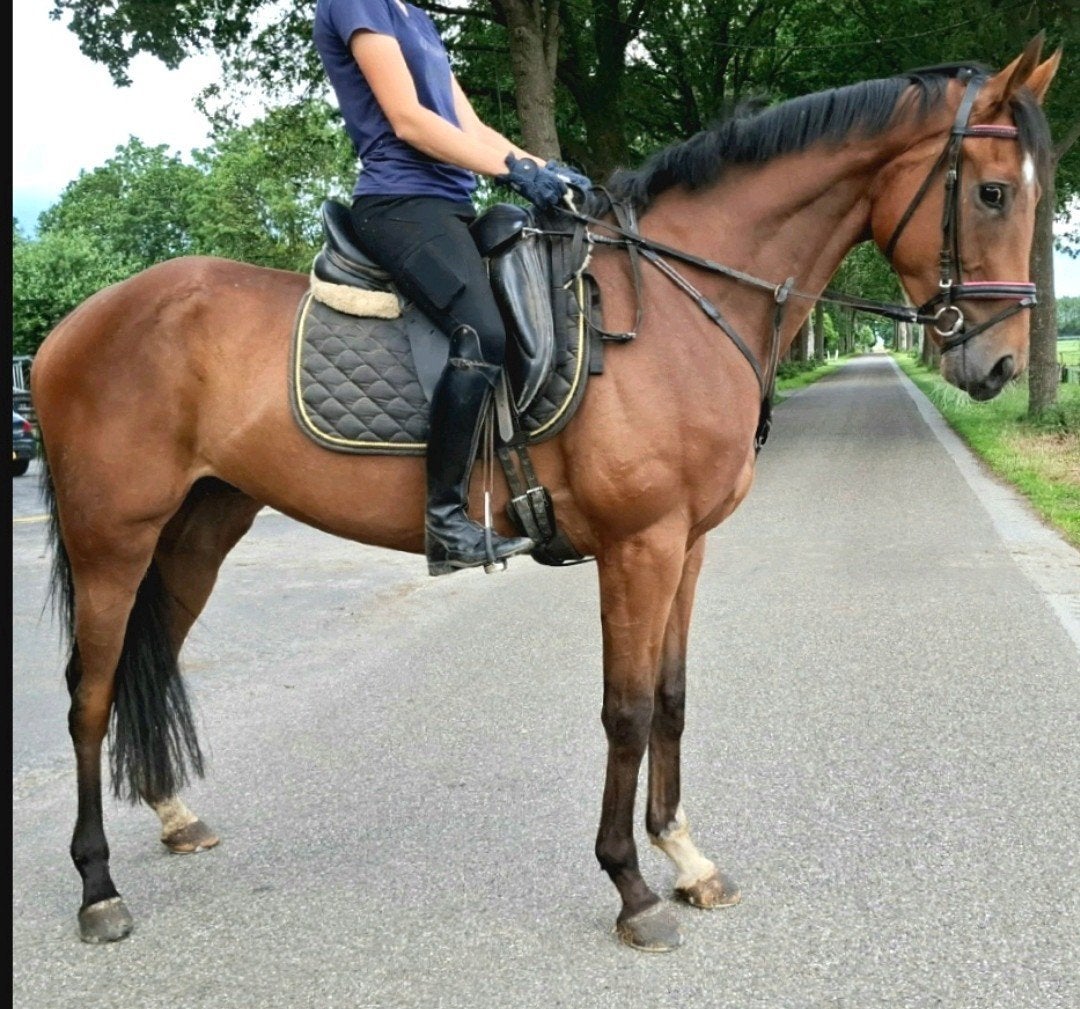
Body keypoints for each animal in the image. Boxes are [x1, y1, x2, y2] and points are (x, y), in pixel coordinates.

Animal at [31, 37, 1059, 951]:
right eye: (993, 191)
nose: (999, 364)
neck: (680, 305)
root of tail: (73, 325)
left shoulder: (687, 544)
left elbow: (672, 696)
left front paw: (686, 858)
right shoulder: (640, 545)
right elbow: (626, 709)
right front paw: (633, 888)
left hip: (201, 526)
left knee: (150, 658)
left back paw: (173, 815)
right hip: (111, 534)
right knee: (89, 691)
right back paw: (98, 887)